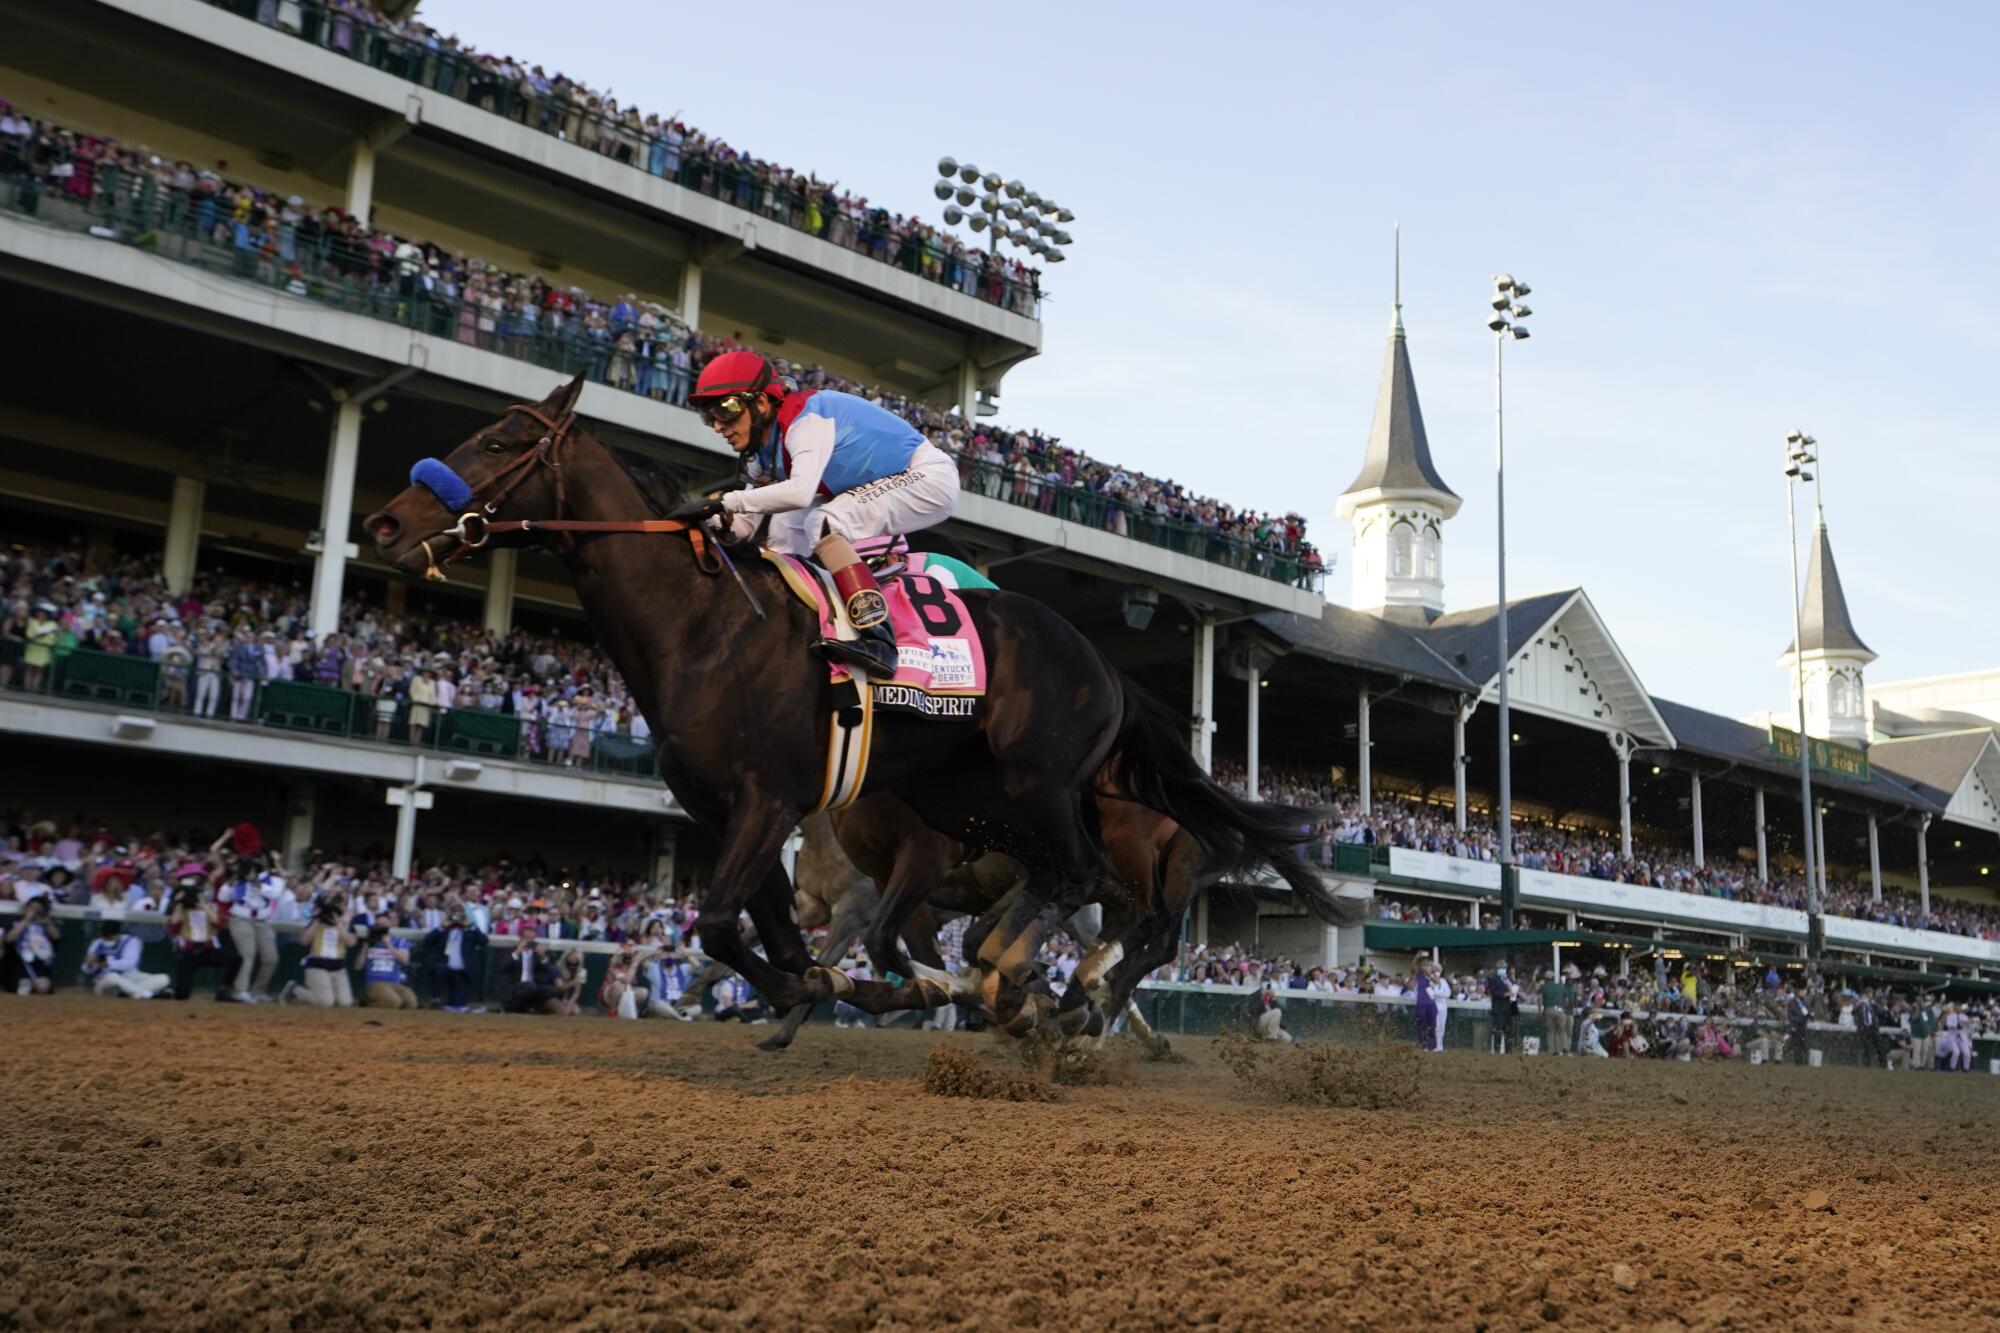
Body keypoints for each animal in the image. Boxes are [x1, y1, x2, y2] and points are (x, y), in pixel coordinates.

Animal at [368, 378, 1352, 1032]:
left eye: (501, 443)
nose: (384, 522)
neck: (706, 626)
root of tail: (1107, 665)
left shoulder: (770, 799)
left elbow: (724, 923)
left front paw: (826, 991)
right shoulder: (731, 812)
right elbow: (758, 932)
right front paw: (812, 991)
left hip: (1044, 785)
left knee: (1100, 897)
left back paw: (1040, 989)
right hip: (971, 799)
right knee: (1065, 894)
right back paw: (1014, 985)